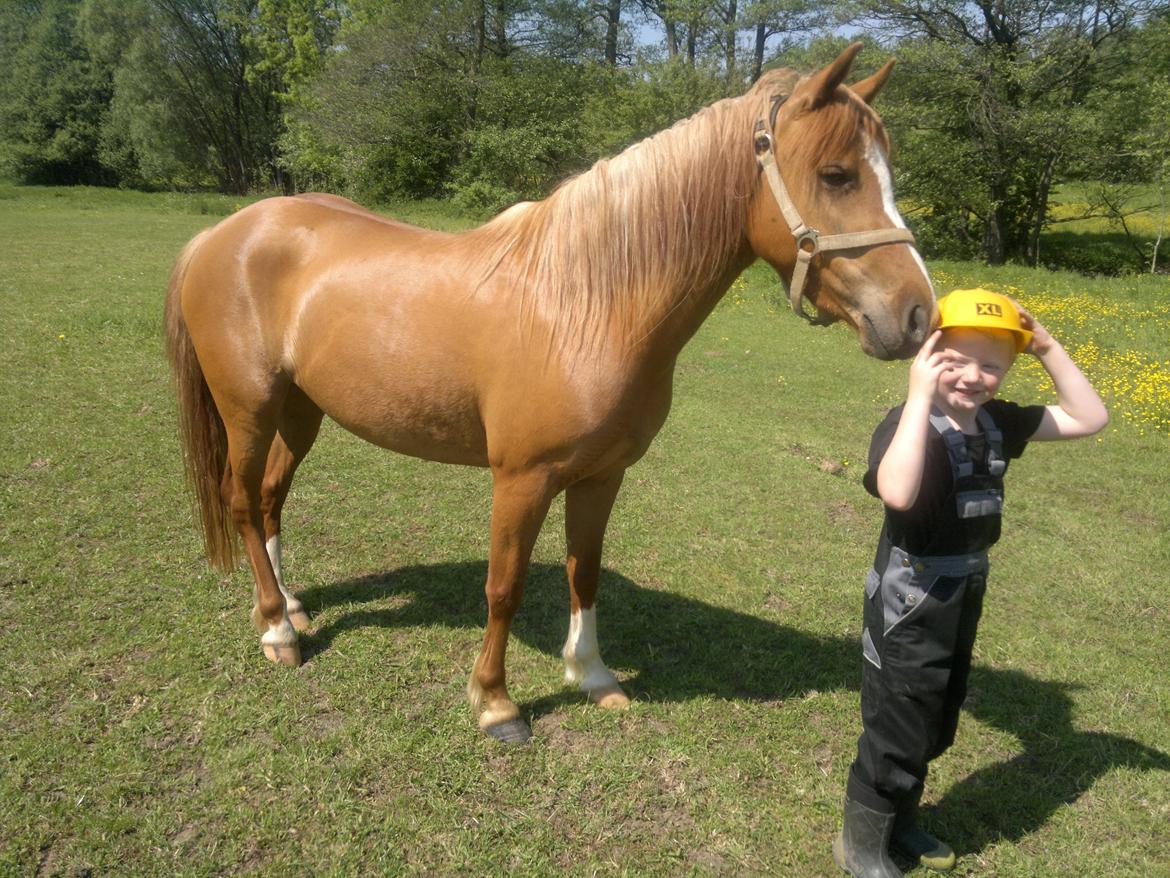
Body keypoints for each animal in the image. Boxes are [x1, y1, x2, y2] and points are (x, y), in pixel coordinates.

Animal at [167, 41, 931, 744]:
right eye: (836, 175)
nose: (918, 313)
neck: (584, 304)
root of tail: (221, 233)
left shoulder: (601, 475)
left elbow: (582, 571)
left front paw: (591, 675)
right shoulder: (522, 479)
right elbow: (503, 588)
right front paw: (495, 703)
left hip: (302, 412)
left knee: (271, 498)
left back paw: (288, 605)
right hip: (249, 410)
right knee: (243, 501)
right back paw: (277, 631)